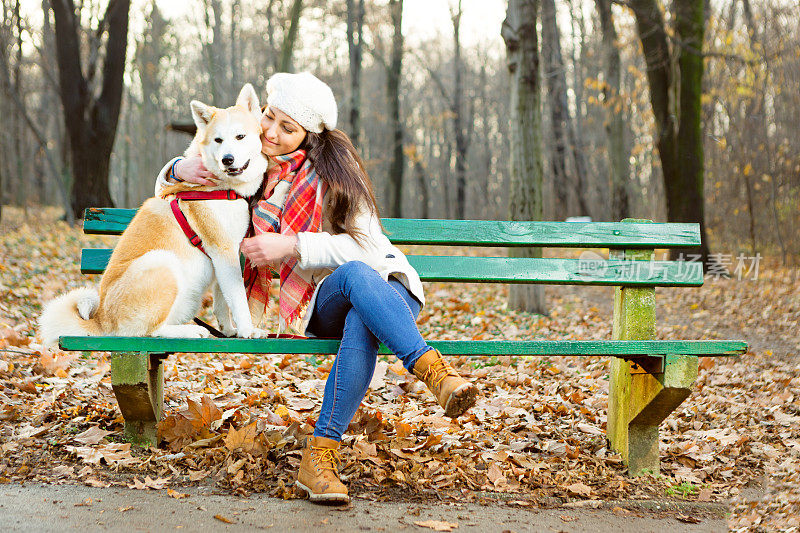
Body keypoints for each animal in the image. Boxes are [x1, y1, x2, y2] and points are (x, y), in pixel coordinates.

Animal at [40, 81, 290, 342]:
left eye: (240, 136)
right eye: (218, 140)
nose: (227, 160)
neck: (222, 189)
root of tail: (101, 322)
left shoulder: (227, 255)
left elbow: (224, 300)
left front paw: (230, 331)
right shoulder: (224, 251)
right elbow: (238, 299)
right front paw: (247, 330)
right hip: (162, 262)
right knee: (150, 331)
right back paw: (190, 330)